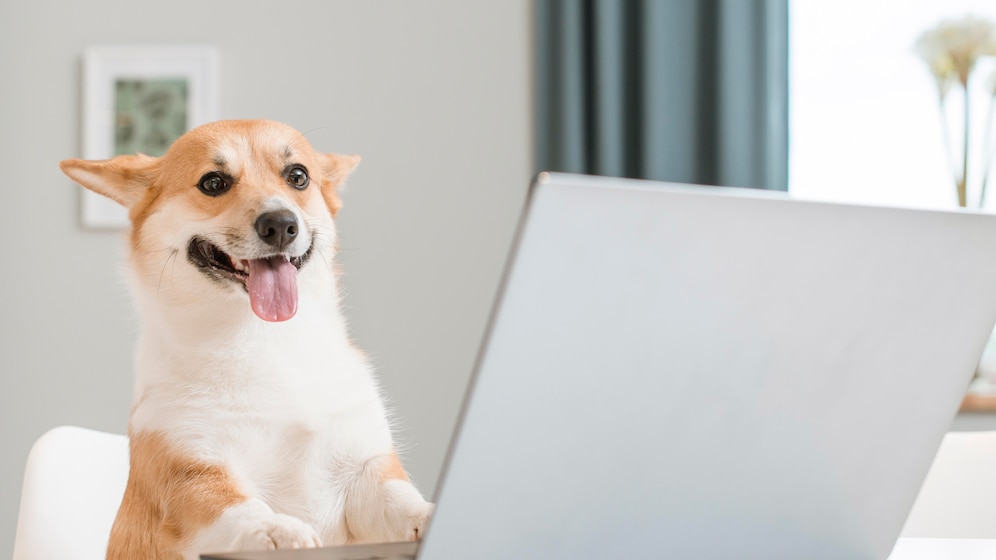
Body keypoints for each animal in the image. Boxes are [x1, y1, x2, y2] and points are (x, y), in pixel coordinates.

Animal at [58, 121, 432, 560]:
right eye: (213, 182)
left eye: (298, 176)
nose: (281, 224)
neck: (264, 339)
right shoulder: (189, 471)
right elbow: (236, 506)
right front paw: (275, 529)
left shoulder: (365, 469)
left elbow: (399, 500)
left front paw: (431, 513)